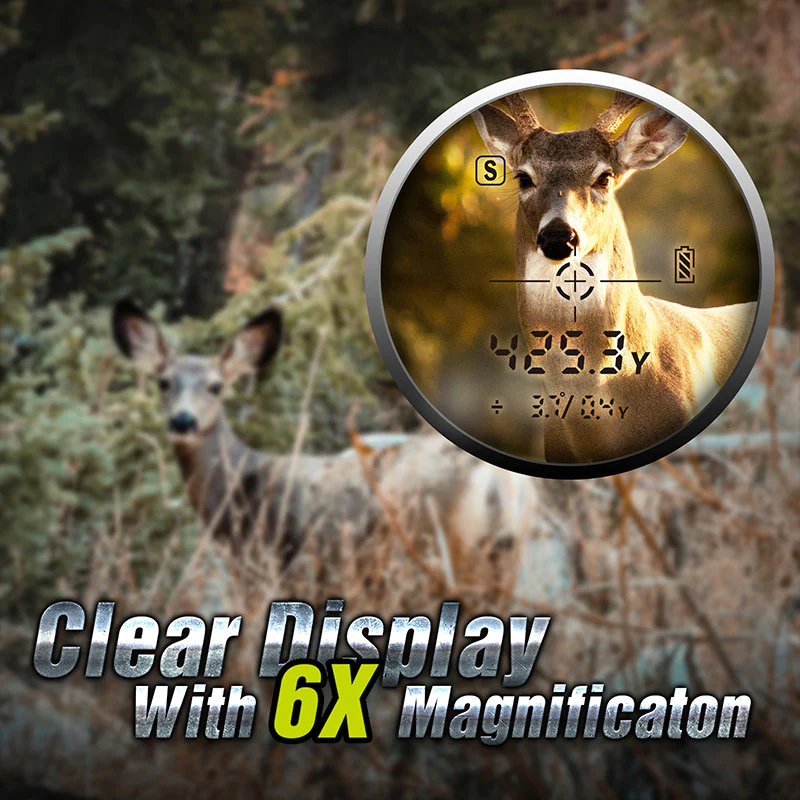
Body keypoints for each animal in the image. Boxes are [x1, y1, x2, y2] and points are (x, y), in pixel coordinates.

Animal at [111, 298, 537, 588]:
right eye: (164, 382)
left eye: (216, 386)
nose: (183, 420)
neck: (235, 488)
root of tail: (500, 485)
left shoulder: (262, 568)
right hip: (500, 562)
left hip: (434, 550)